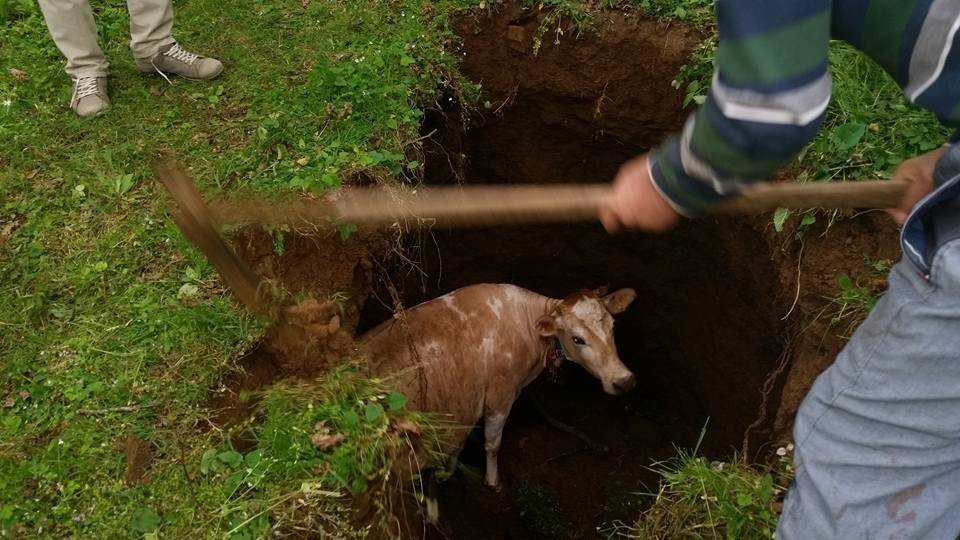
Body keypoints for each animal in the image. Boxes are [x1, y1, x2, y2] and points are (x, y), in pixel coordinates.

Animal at [362, 284, 636, 488]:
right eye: (577, 339)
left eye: (612, 326)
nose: (624, 380)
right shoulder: (499, 395)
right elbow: (493, 443)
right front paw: (493, 481)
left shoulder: (466, 405)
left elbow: (460, 441)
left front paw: (447, 472)